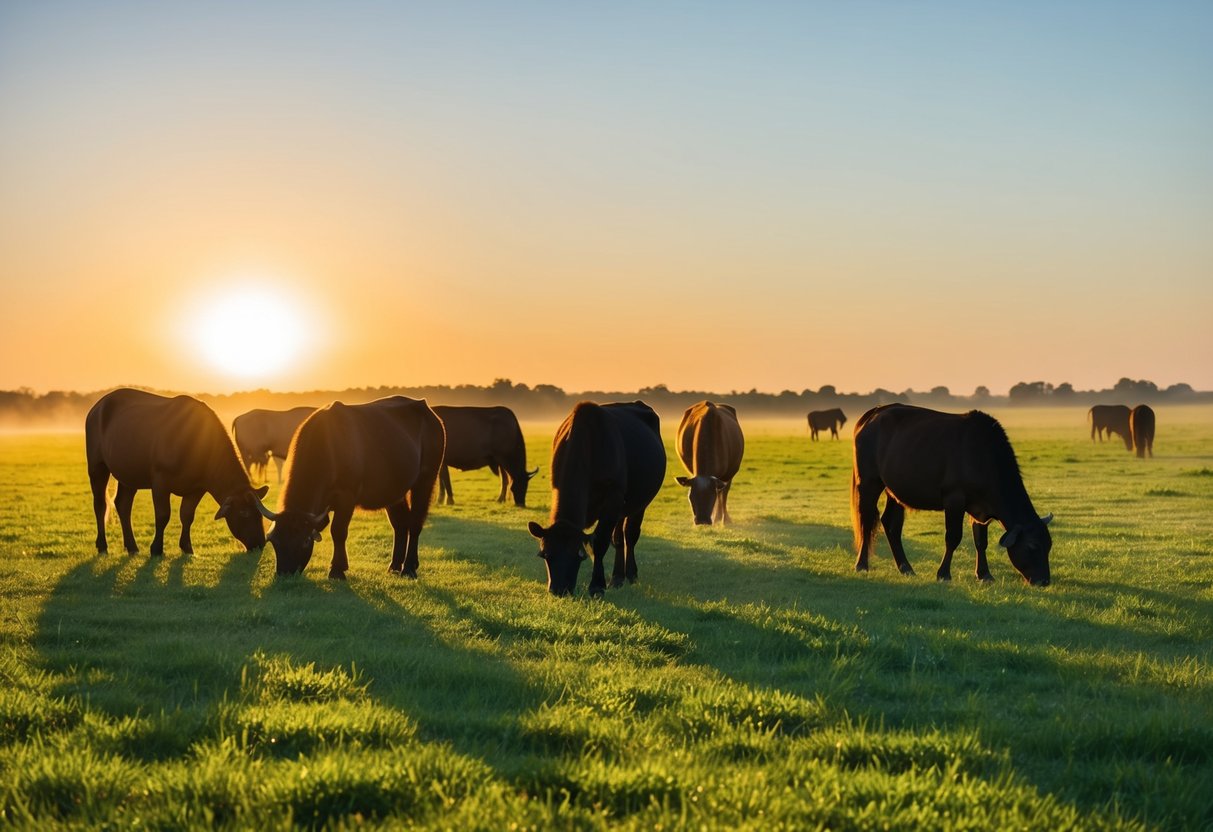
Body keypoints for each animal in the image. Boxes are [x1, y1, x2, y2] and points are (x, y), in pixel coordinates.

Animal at [86, 390, 271, 560]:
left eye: (259, 514)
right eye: (244, 513)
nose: (259, 543)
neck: (198, 445)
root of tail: (97, 407)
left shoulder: (197, 488)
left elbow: (187, 515)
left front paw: (187, 547)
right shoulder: (160, 482)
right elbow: (163, 515)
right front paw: (156, 549)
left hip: (129, 474)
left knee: (123, 504)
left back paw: (132, 547)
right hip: (97, 466)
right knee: (100, 504)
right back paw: (102, 546)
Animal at [255, 397, 446, 579]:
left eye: (304, 542)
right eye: (274, 541)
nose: (285, 573)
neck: (328, 448)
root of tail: (429, 413)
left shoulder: (347, 498)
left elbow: (338, 531)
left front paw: (337, 570)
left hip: (425, 480)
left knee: (415, 522)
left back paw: (409, 568)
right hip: (394, 492)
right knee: (400, 524)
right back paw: (394, 566)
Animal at [528, 405, 669, 599]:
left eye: (579, 555)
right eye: (545, 555)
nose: (559, 590)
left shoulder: (613, 498)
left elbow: (600, 543)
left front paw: (596, 586)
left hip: (640, 502)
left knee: (630, 535)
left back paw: (631, 574)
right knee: (618, 538)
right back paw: (617, 578)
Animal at [853, 405, 1052, 587]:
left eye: (1049, 545)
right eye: (1033, 546)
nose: (1044, 581)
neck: (984, 457)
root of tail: (874, 413)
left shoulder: (980, 507)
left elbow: (981, 541)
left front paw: (984, 574)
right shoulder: (954, 499)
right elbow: (953, 537)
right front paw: (943, 574)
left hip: (894, 489)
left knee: (891, 523)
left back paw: (906, 568)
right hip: (869, 481)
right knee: (867, 520)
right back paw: (862, 565)